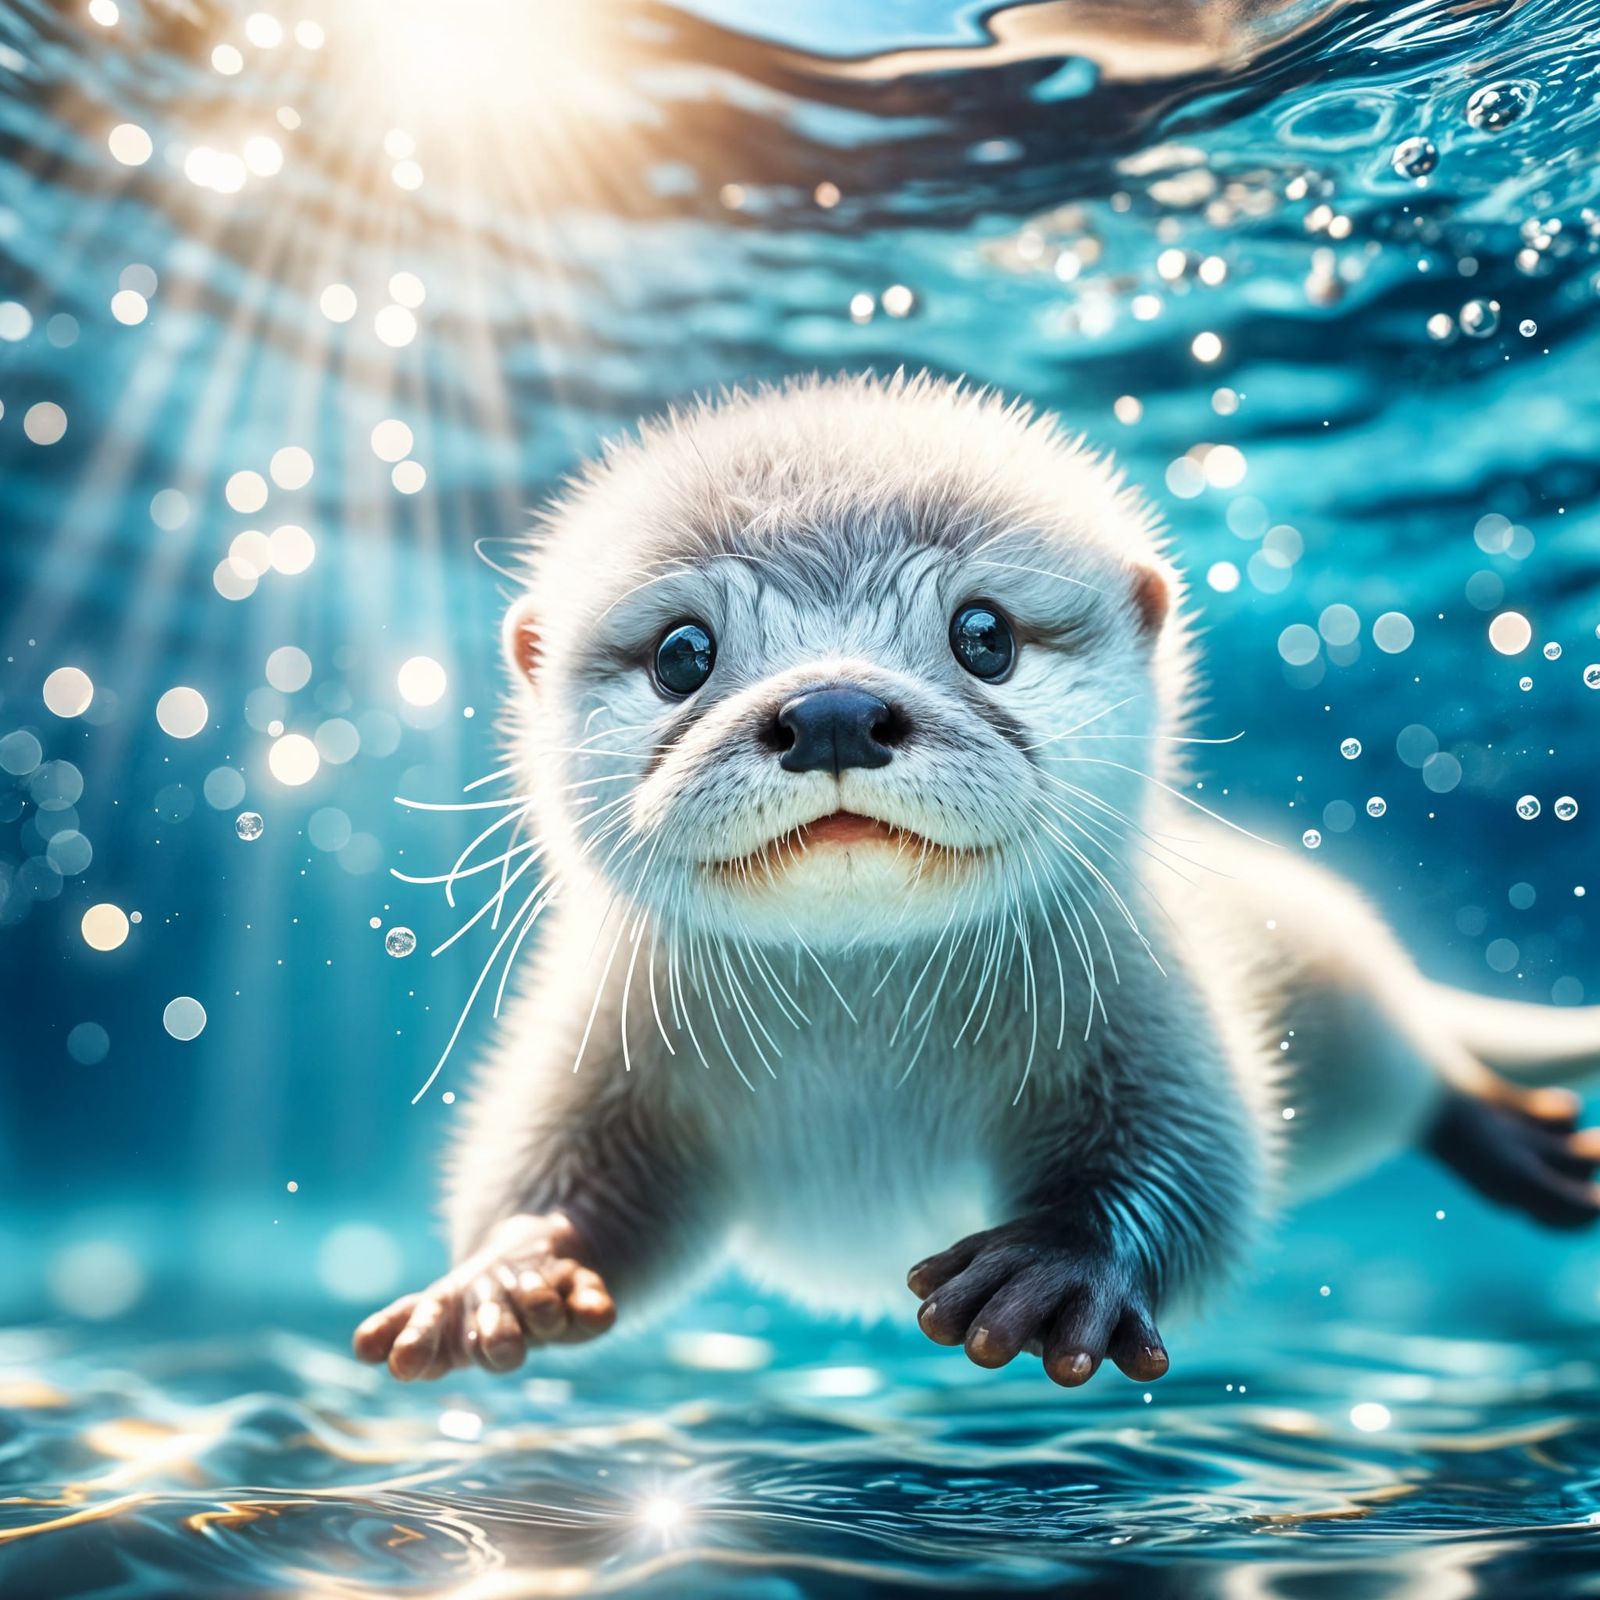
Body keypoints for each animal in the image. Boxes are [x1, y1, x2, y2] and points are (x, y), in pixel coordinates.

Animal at [354, 372, 1600, 1389]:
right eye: (680, 653)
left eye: (984, 634)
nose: (832, 709)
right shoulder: (590, 1045)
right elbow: (554, 1181)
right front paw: (504, 1274)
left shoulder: (1150, 1012)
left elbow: (1198, 1159)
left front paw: (1056, 1270)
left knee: (1426, 1069)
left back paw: (1515, 1137)